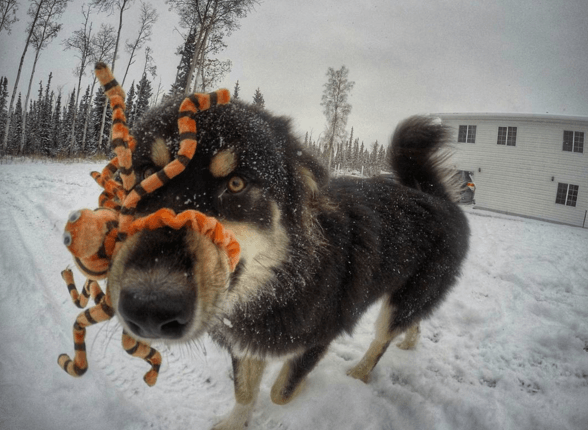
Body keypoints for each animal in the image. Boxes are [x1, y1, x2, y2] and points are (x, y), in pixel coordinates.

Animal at [107, 95, 468, 428]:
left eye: (236, 184)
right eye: (146, 172)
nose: (149, 308)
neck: (281, 280)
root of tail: (437, 196)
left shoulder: (318, 337)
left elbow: (280, 392)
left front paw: (304, 388)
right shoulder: (244, 338)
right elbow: (244, 390)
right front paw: (235, 422)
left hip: (401, 301)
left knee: (382, 338)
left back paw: (360, 372)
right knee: (411, 321)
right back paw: (410, 339)